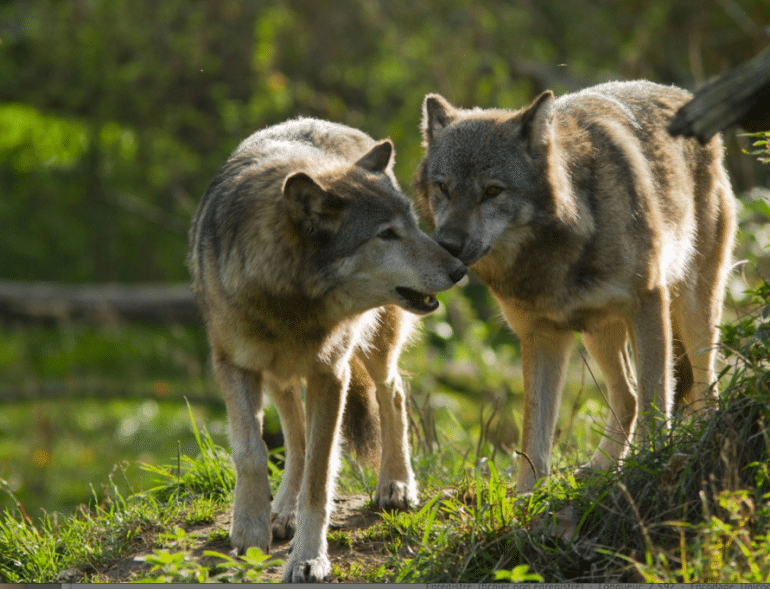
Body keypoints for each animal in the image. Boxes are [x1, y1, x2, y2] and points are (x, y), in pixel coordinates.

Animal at [189, 117, 464, 580]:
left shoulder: (331, 372)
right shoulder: (233, 364)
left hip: (372, 349)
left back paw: (396, 483)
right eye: (386, 234)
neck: (291, 301)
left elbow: (319, 477)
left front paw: (308, 557)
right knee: (295, 434)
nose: (460, 269)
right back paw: (282, 511)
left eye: (412, 226)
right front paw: (249, 530)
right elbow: (251, 451)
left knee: (392, 393)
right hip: (277, 373)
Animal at [416, 79, 736, 492]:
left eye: (492, 191)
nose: (448, 244)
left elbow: (656, 398)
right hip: (598, 332)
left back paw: (700, 436)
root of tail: (680, 93)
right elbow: (533, 436)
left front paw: (650, 463)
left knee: (703, 382)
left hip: (692, 309)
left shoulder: (649, 303)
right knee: (627, 396)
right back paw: (601, 468)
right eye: (443, 187)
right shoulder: (541, 337)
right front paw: (526, 499)